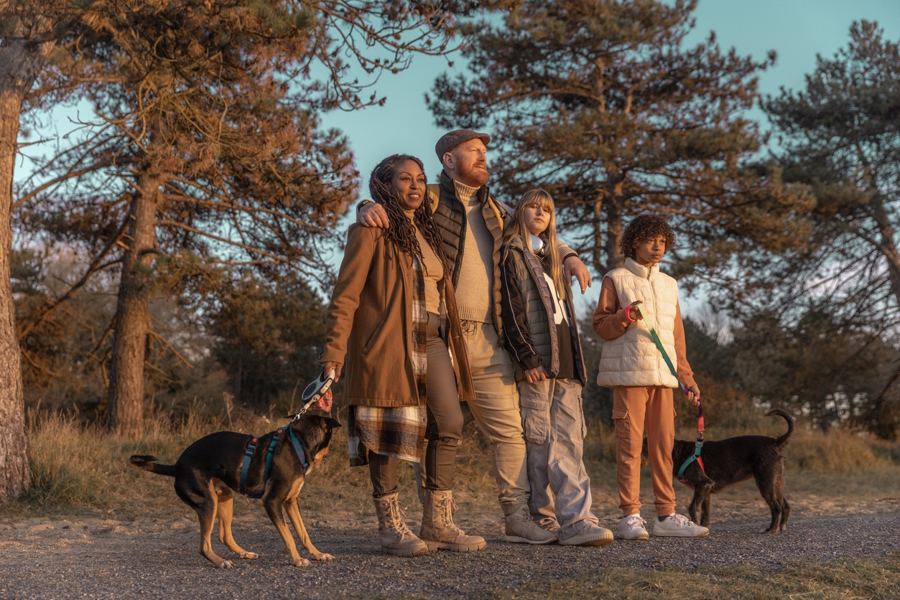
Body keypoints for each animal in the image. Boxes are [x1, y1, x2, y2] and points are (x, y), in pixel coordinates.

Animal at [126, 414, 338, 568]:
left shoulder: (291, 502)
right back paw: (221, 562)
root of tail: (176, 467)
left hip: (225, 498)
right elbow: (289, 535)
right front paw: (298, 560)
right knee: (204, 546)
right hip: (208, 502)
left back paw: (244, 553)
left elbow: (303, 533)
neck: (298, 444)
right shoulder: (271, 501)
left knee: (224, 536)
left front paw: (318, 554)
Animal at [640, 410, 796, 532]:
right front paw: (703, 527)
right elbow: (705, 512)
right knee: (785, 505)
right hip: (776, 482)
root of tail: (775, 442)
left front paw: (694, 524)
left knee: (776, 507)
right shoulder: (706, 490)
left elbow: (692, 507)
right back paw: (781, 527)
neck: (677, 451)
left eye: (643, 446)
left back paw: (772, 529)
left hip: (765, 482)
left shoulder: (703, 484)